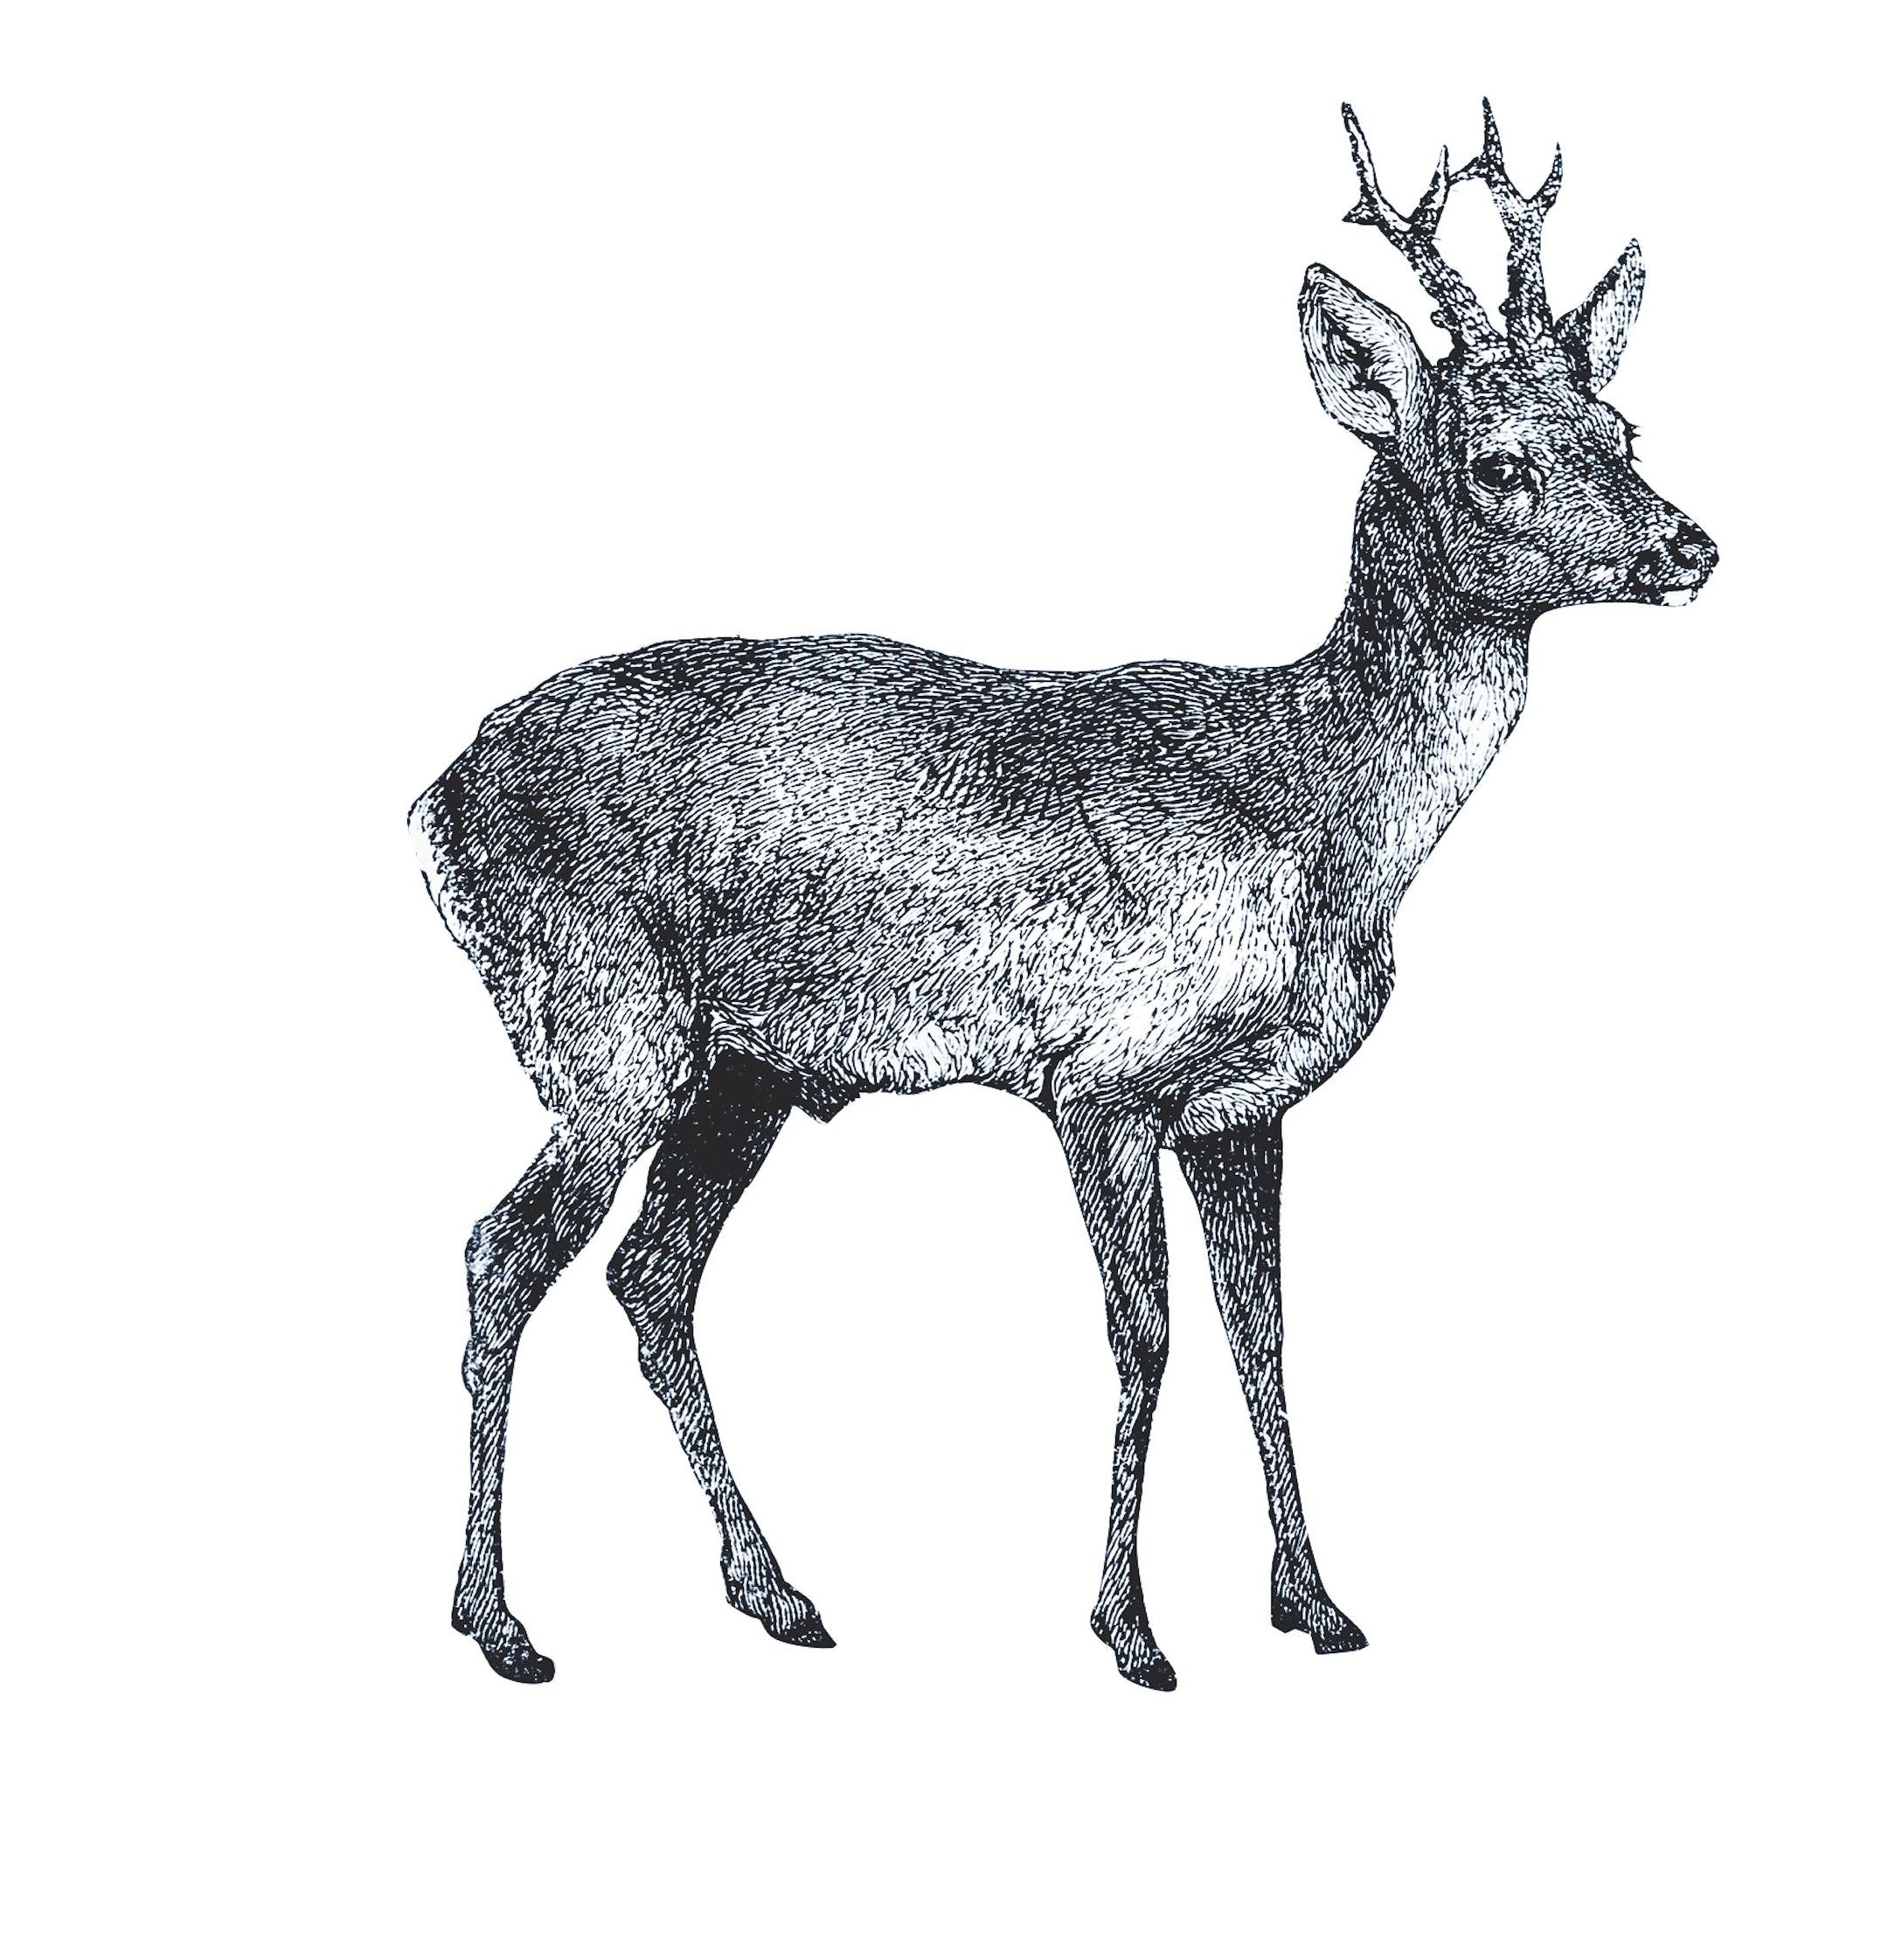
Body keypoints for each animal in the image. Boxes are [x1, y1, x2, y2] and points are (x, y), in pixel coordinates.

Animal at [413, 102, 1717, 1688]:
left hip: (743, 1073)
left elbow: (1267, 1335)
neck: (1317, 815)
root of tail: (435, 796)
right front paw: (1132, 1628)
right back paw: (499, 1620)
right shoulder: (1102, 1075)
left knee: (650, 1278)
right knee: (499, 1255)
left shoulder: (1243, 1106)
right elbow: (1143, 1334)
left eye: (1624, 430)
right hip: (605, 1029)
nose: (1688, 544)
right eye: (1499, 461)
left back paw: (777, 1591)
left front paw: (1317, 1602)